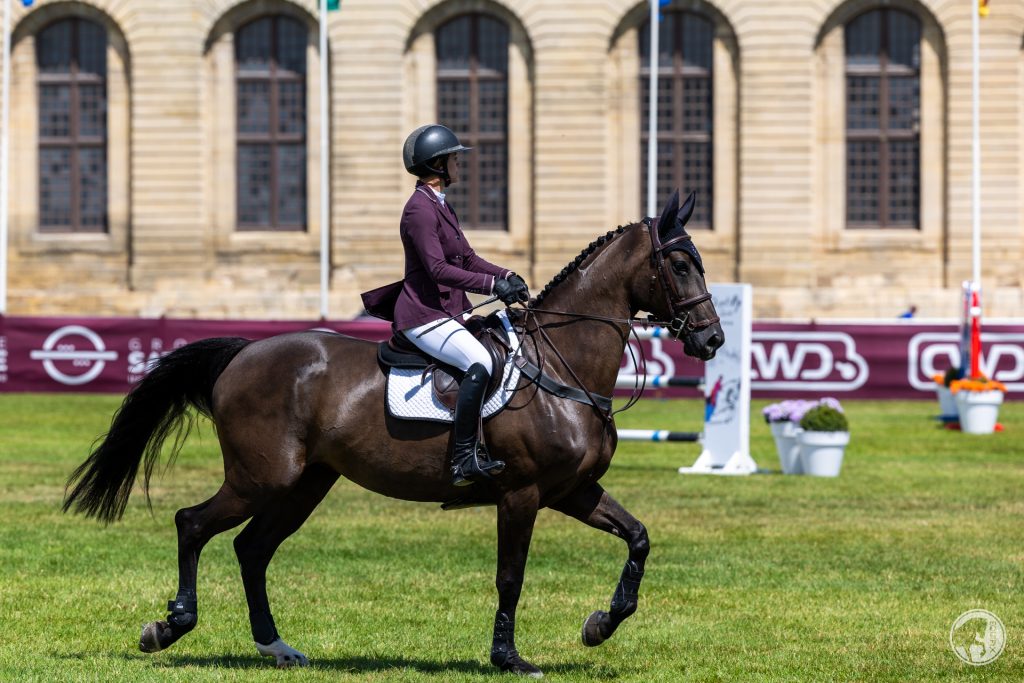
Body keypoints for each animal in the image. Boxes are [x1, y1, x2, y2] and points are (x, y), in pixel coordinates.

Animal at [64, 189, 724, 675]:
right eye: (679, 263)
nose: (712, 339)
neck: (561, 366)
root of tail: (244, 353)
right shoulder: (522, 494)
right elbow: (510, 576)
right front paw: (509, 658)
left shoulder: (572, 491)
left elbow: (638, 538)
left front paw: (601, 624)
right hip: (262, 477)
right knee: (193, 524)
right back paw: (169, 625)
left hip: (306, 484)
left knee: (252, 549)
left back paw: (276, 647)